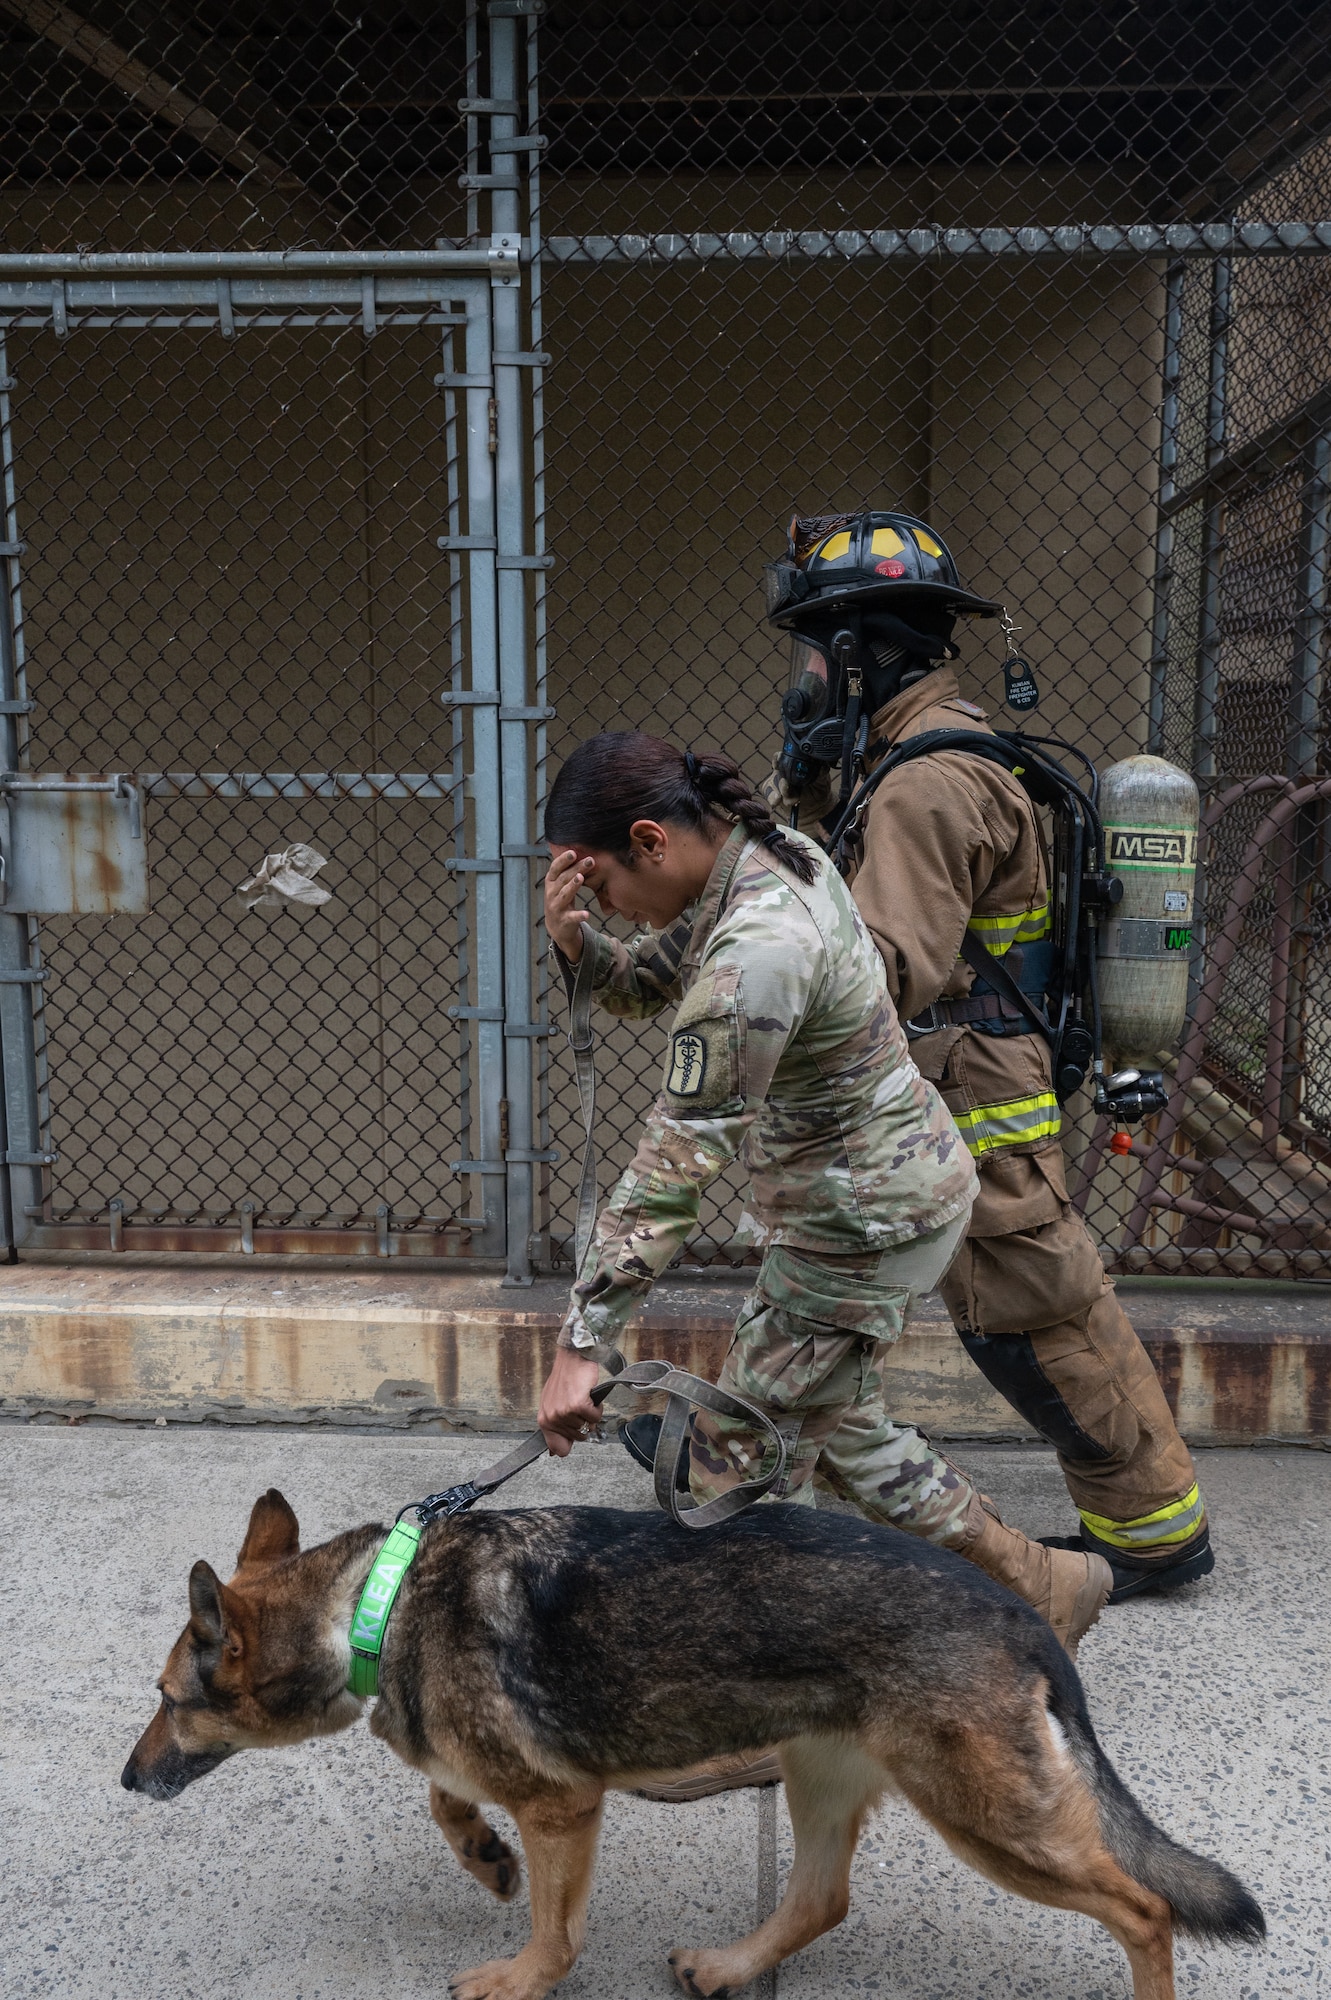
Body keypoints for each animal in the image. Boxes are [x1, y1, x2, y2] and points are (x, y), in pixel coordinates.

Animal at [121, 1496, 1255, 1992]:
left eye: (169, 1699)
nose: (128, 1779)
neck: (373, 1604)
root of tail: (1017, 1613)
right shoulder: (521, 1783)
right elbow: (443, 1792)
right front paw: (481, 1856)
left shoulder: (562, 1804)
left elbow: (553, 1929)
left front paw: (522, 1976)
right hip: (819, 1774)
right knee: (817, 1898)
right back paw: (728, 1965)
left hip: (988, 1821)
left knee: (1145, 1909)